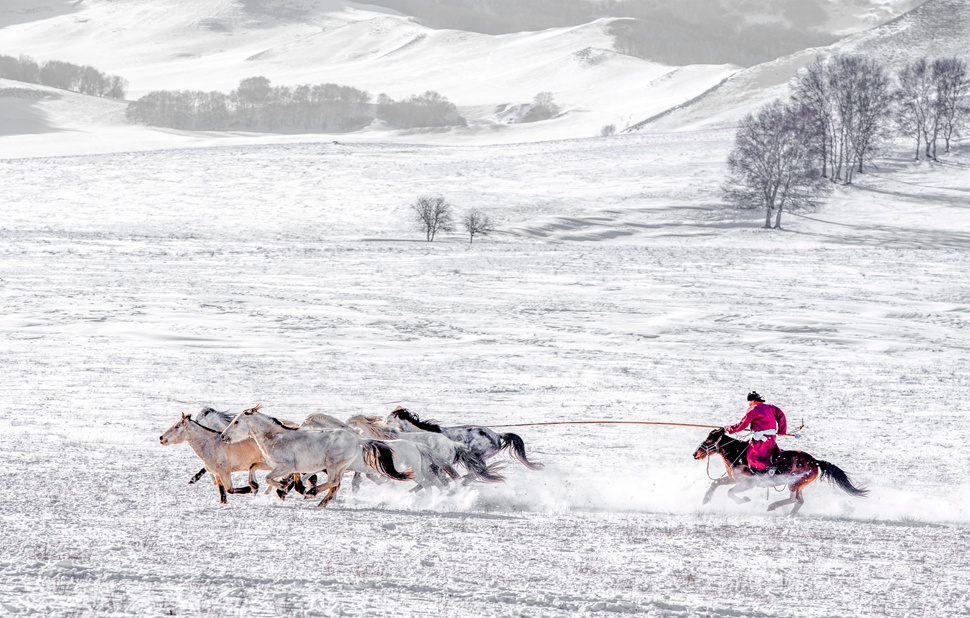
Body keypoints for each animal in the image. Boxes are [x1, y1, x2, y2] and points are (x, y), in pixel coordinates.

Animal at [219, 404, 412, 506]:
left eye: (237, 422)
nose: (223, 436)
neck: (275, 437)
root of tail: (358, 438)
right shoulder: (273, 465)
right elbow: (253, 468)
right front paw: (255, 487)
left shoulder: (286, 467)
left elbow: (269, 478)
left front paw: (283, 487)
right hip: (340, 467)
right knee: (335, 485)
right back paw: (320, 502)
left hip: (334, 465)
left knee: (333, 482)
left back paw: (311, 493)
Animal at [692, 424, 864, 516]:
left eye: (708, 440)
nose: (695, 454)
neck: (737, 453)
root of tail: (816, 462)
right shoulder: (734, 479)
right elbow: (715, 484)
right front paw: (705, 499)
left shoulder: (747, 483)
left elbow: (730, 492)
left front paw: (744, 500)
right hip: (797, 485)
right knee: (798, 500)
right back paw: (787, 513)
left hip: (795, 483)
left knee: (796, 499)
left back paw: (775, 507)